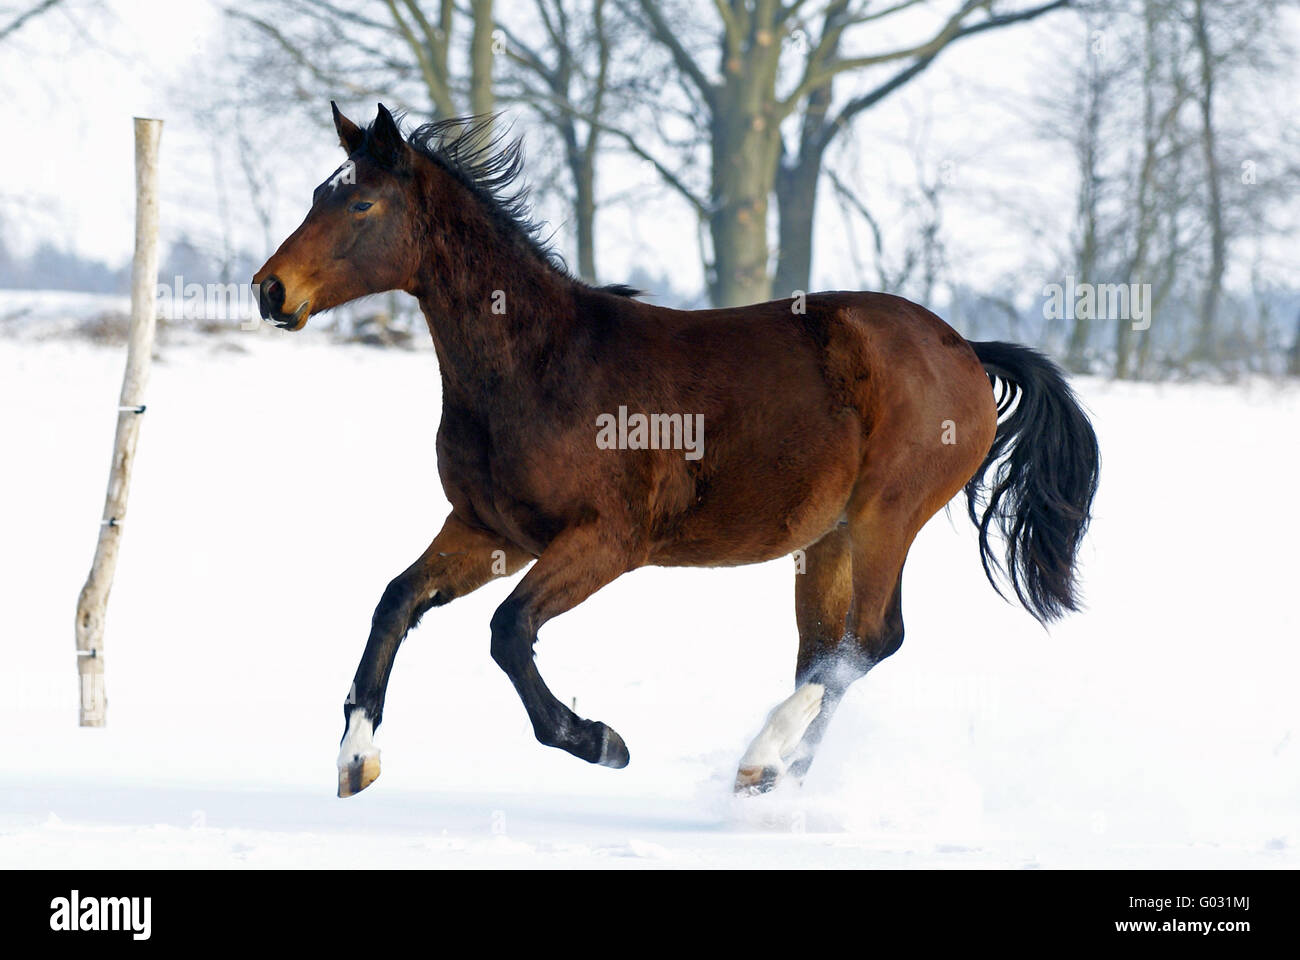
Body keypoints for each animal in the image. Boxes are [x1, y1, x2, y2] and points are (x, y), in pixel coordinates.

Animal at [250, 100, 1097, 796]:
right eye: (318, 194)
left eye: (361, 203)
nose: (269, 290)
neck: (538, 366)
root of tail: (964, 350)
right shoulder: (490, 529)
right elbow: (396, 601)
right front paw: (356, 758)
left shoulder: (607, 540)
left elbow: (508, 633)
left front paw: (599, 741)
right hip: (829, 539)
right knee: (827, 651)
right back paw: (778, 777)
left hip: (888, 516)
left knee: (872, 641)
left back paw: (761, 760)